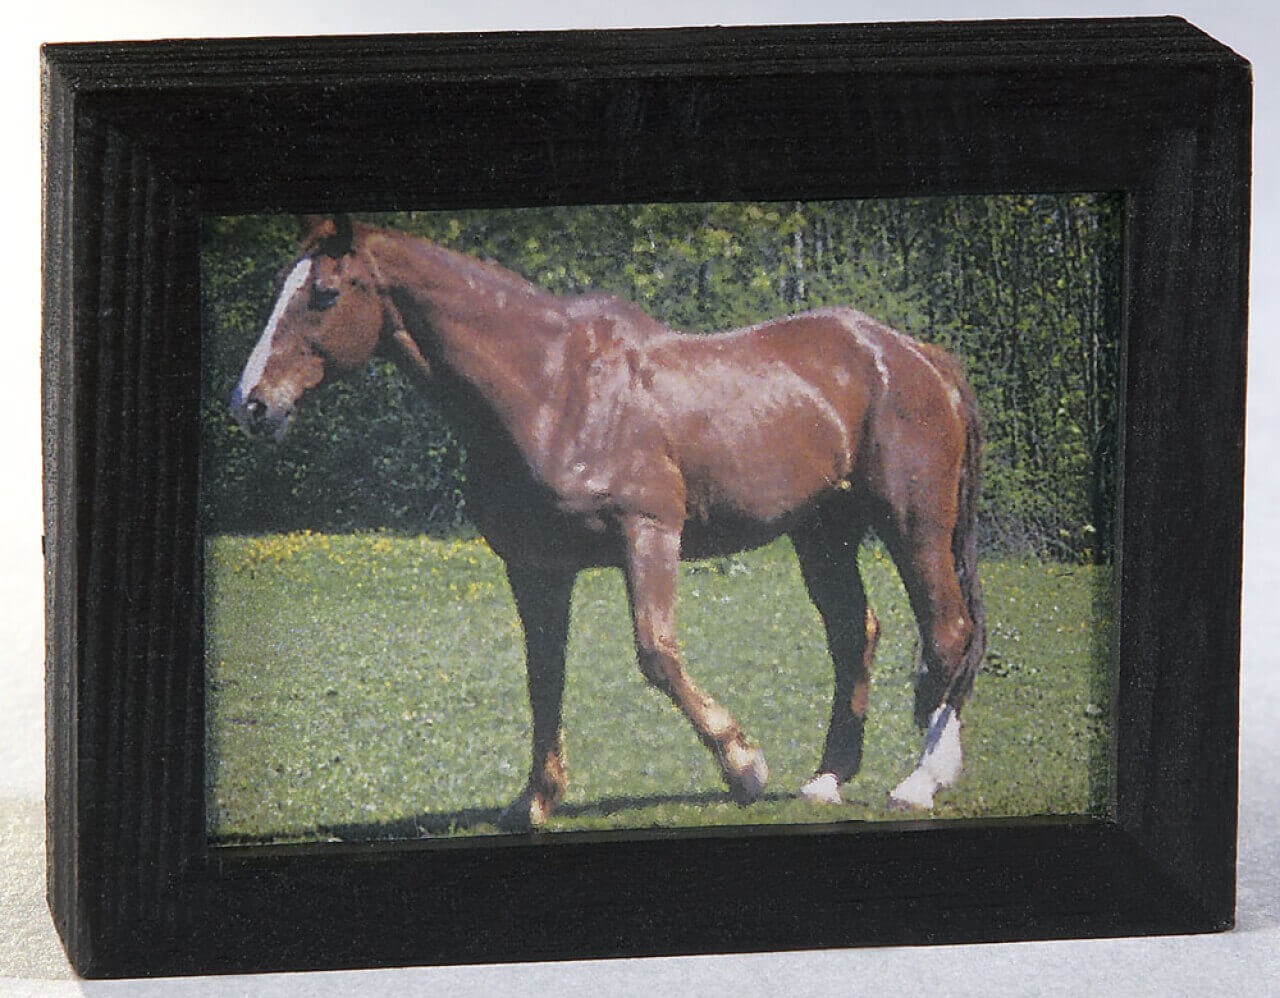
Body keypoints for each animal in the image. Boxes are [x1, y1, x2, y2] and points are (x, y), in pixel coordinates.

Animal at [232, 214, 988, 829]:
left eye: (325, 293)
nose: (252, 404)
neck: (551, 389)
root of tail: (916, 356)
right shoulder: (535, 566)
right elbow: (544, 675)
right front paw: (535, 800)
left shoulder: (647, 532)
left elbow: (656, 653)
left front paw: (743, 766)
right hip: (824, 530)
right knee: (854, 633)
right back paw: (830, 778)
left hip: (913, 521)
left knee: (947, 630)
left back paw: (920, 781)